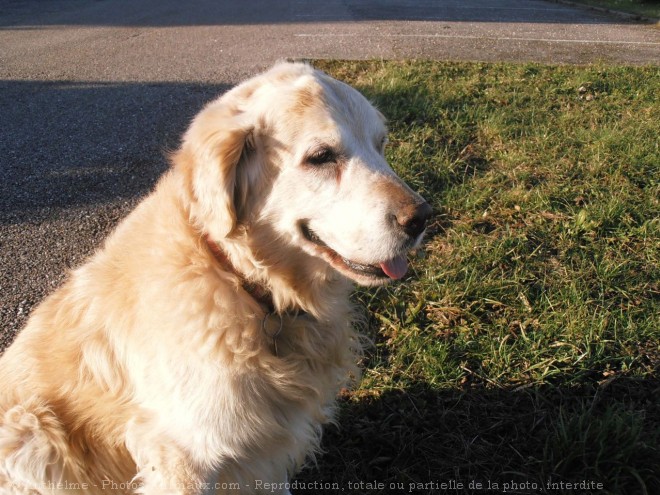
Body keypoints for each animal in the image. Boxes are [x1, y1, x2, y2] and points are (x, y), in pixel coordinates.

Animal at [0, 63, 430, 495]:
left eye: (380, 144)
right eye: (321, 156)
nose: (423, 218)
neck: (239, 281)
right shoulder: (182, 458)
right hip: (32, 434)